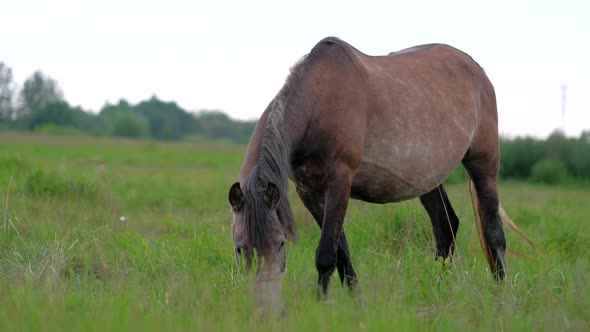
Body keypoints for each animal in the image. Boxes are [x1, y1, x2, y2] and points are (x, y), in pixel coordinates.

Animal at [228, 36, 532, 306]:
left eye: (280, 243)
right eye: (239, 248)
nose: (263, 304)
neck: (318, 103)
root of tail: (477, 70)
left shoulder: (339, 182)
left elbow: (326, 253)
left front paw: (321, 306)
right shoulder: (309, 192)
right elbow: (342, 251)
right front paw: (355, 301)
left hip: (484, 163)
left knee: (494, 232)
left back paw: (500, 295)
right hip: (426, 178)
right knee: (445, 227)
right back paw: (440, 290)